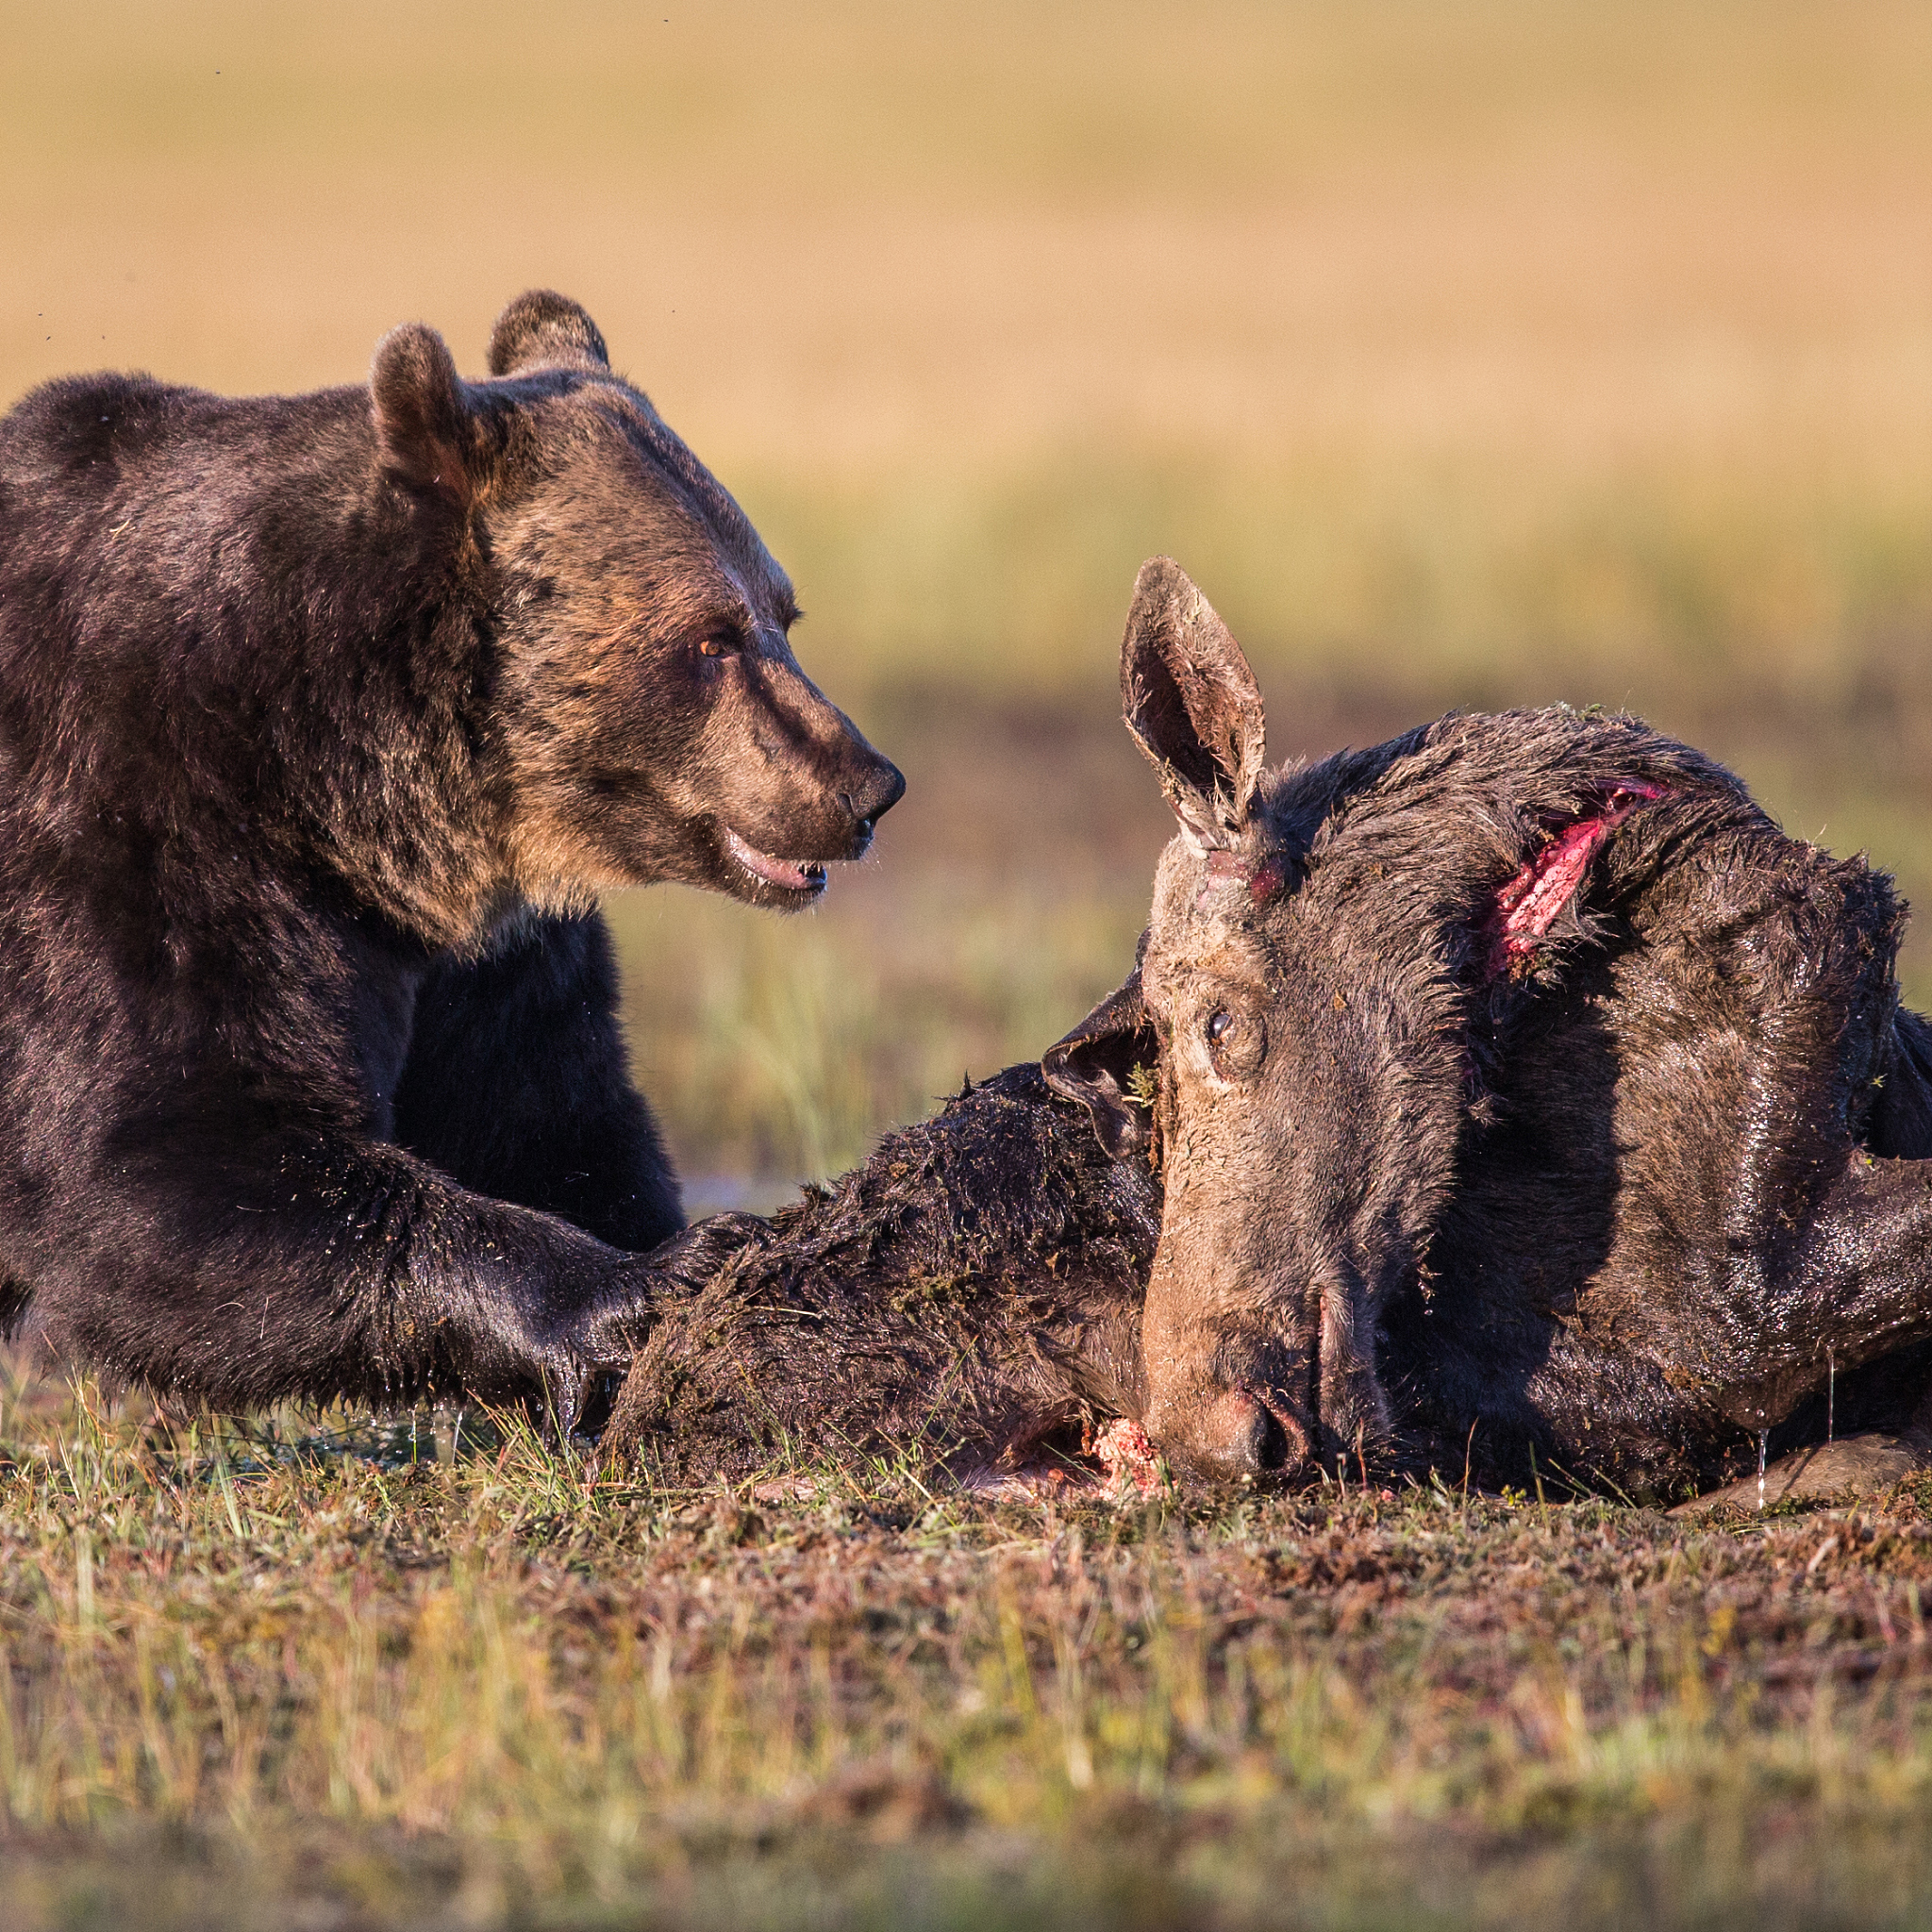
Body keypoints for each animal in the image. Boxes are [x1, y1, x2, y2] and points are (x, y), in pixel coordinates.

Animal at [0, 289, 903, 1416]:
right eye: (709, 638)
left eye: (782, 612)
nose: (865, 785)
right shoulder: (139, 842)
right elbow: (161, 1163)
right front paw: (646, 1281)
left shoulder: (483, 955)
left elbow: (545, 1117)